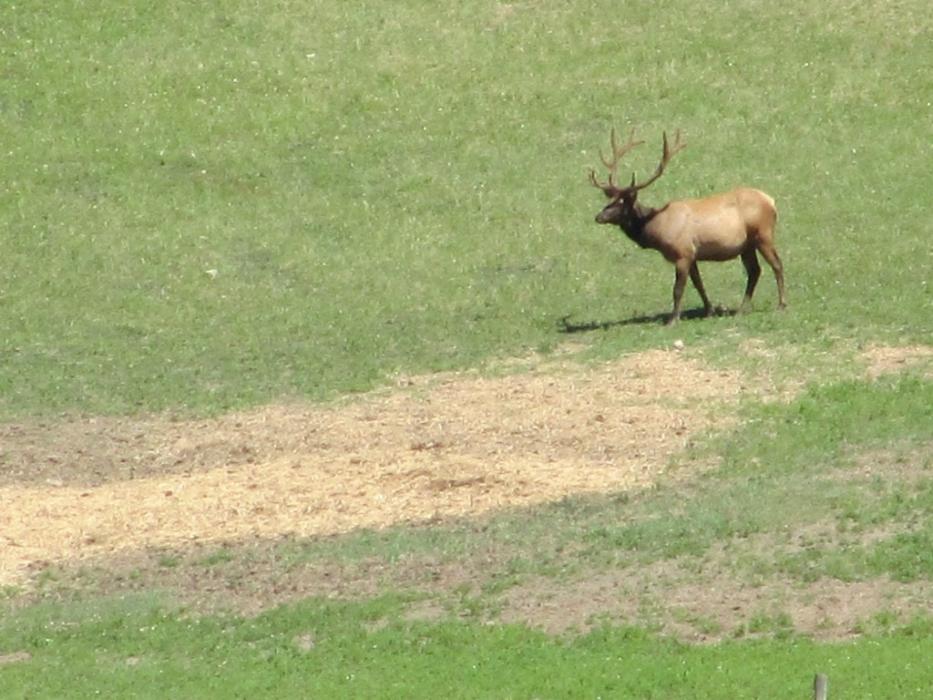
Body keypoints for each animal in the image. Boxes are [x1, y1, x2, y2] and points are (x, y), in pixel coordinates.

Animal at [589, 128, 786, 325]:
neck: (656, 228)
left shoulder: (682, 253)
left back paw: (781, 304)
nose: (598, 217)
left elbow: (677, 289)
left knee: (776, 264)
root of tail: (771, 201)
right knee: (754, 270)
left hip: (763, 234)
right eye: (610, 201)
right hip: (746, 245)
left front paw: (673, 319)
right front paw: (709, 310)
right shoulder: (692, 255)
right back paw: (741, 309)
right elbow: (698, 284)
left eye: (621, 202)